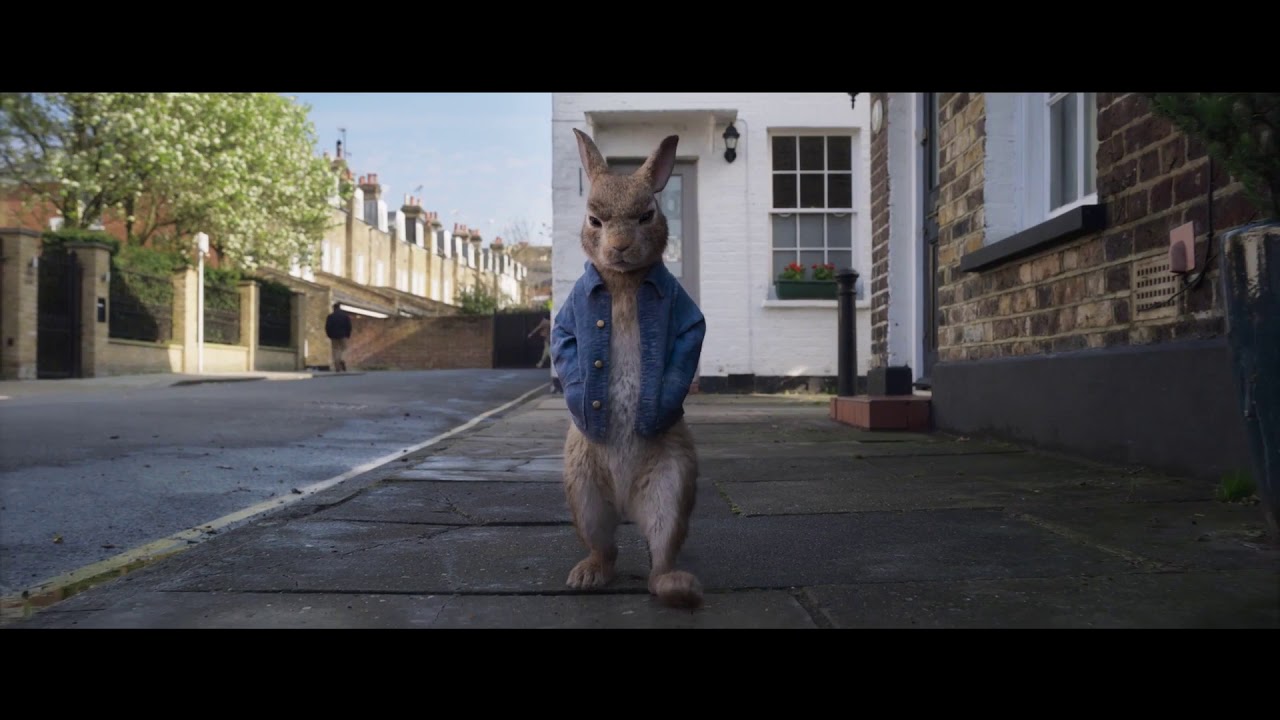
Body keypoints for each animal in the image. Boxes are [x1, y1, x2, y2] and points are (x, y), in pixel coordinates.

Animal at [550, 128, 707, 609]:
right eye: (593, 219)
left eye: (647, 214)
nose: (618, 248)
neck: (622, 280)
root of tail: (625, 504)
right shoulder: (569, 317)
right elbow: (564, 340)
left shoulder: (685, 317)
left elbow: (689, 339)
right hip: (583, 490)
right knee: (606, 548)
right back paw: (587, 575)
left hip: (672, 485)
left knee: (659, 555)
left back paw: (678, 587)